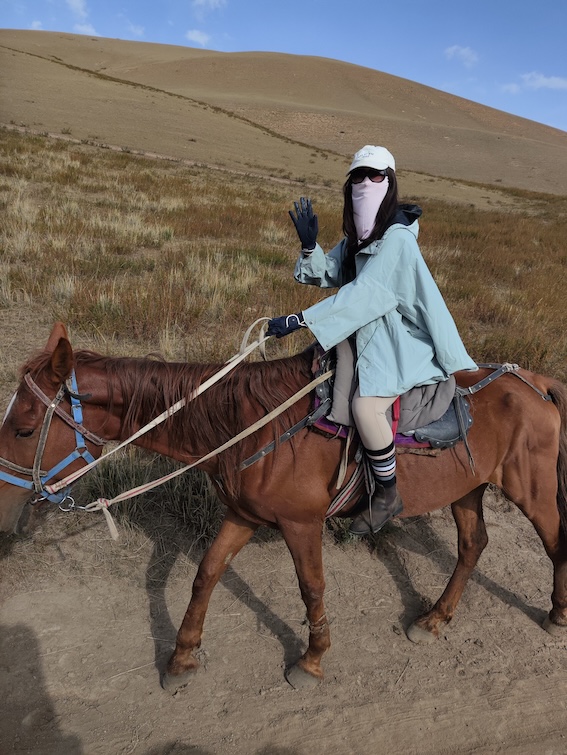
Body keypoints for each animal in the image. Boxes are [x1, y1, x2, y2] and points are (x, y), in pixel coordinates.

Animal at [1, 322, 567, 692]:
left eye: (25, 430)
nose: (6, 509)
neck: (251, 425)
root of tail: (534, 381)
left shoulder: (301, 524)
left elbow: (311, 587)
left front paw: (312, 661)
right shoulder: (243, 516)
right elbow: (206, 573)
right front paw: (182, 658)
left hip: (532, 490)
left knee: (556, 543)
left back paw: (557, 615)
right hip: (468, 487)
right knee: (473, 545)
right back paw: (433, 619)